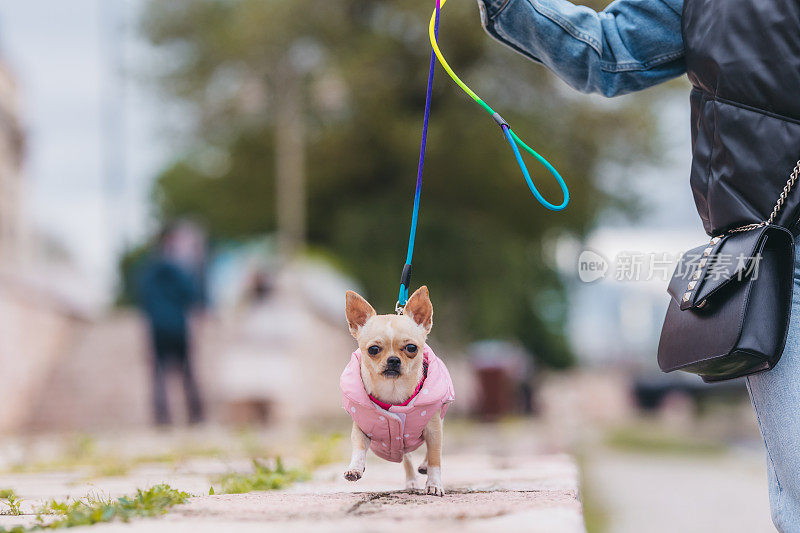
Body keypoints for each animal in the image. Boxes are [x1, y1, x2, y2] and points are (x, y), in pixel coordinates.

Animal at [338, 286, 450, 494]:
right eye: (373, 349)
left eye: (411, 348)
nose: (393, 360)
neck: (393, 390)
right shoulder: (361, 428)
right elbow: (358, 448)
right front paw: (355, 468)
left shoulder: (433, 428)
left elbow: (435, 459)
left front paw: (434, 484)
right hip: (402, 443)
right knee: (407, 457)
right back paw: (411, 482)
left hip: (439, 420)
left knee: (430, 452)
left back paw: (423, 467)